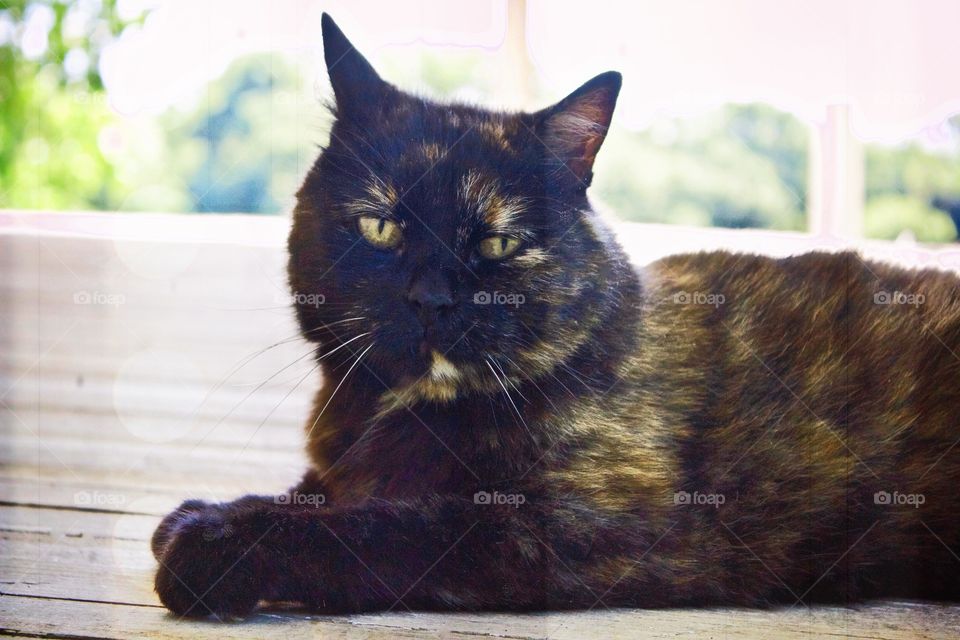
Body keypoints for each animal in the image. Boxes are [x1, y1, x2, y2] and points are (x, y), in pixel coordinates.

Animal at [150, 12, 960, 616]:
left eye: (498, 242)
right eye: (381, 227)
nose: (431, 299)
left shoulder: (564, 527)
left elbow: (381, 525)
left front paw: (215, 541)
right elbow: (324, 492)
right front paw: (203, 511)